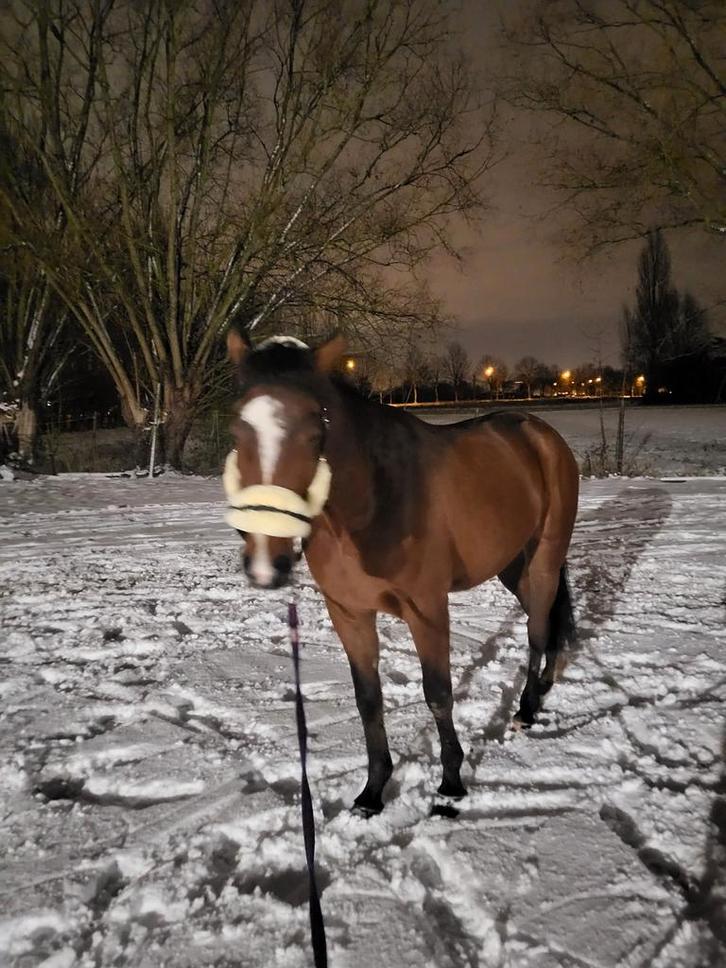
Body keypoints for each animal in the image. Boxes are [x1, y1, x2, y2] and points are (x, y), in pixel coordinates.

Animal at [223, 331, 579, 816]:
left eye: (315, 433)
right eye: (237, 431)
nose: (265, 562)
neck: (374, 502)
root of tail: (541, 434)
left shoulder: (426, 608)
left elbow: (438, 694)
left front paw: (450, 784)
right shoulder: (349, 614)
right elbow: (368, 700)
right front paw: (373, 791)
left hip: (543, 559)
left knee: (538, 629)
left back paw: (525, 710)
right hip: (513, 567)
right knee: (542, 620)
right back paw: (540, 691)